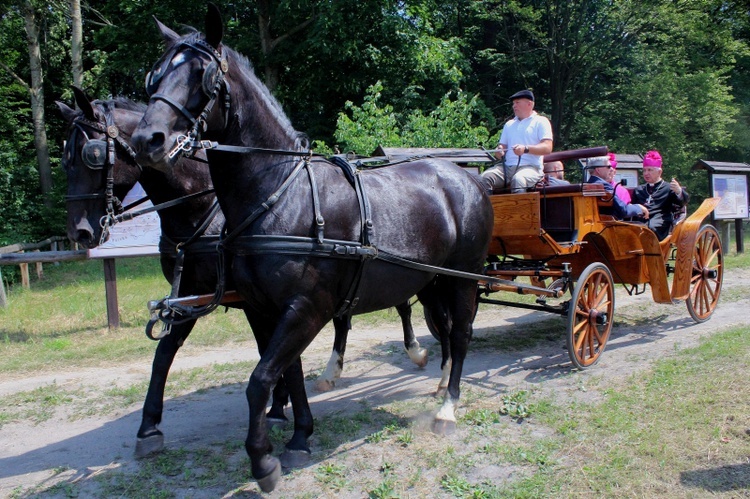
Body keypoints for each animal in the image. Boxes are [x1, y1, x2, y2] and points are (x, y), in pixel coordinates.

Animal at [58, 88, 428, 458]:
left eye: (91, 154)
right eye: (65, 158)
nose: (80, 232)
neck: (207, 211)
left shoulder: (254, 301)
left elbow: (270, 353)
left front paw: (280, 411)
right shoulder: (192, 295)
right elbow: (165, 354)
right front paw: (149, 427)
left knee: (401, 306)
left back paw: (414, 351)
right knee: (346, 318)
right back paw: (332, 370)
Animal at [131, 5, 494, 494]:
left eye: (202, 76)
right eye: (153, 77)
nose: (147, 140)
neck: (280, 196)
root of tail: (466, 176)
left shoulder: (306, 307)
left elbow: (260, 379)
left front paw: (263, 462)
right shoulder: (265, 309)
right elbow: (286, 373)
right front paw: (299, 437)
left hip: (463, 278)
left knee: (460, 334)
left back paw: (447, 409)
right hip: (432, 280)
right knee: (445, 330)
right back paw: (437, 386)